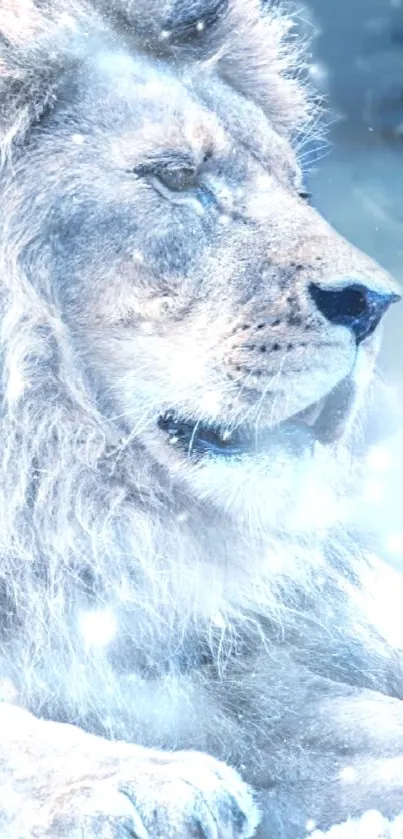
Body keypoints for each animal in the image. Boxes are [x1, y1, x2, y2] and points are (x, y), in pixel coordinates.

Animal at [0, 0, 402, 836]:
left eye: (298, 192)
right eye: (178, 178)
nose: (373, 302)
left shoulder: (207, 673)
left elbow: (342, 722)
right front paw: (131, 782)